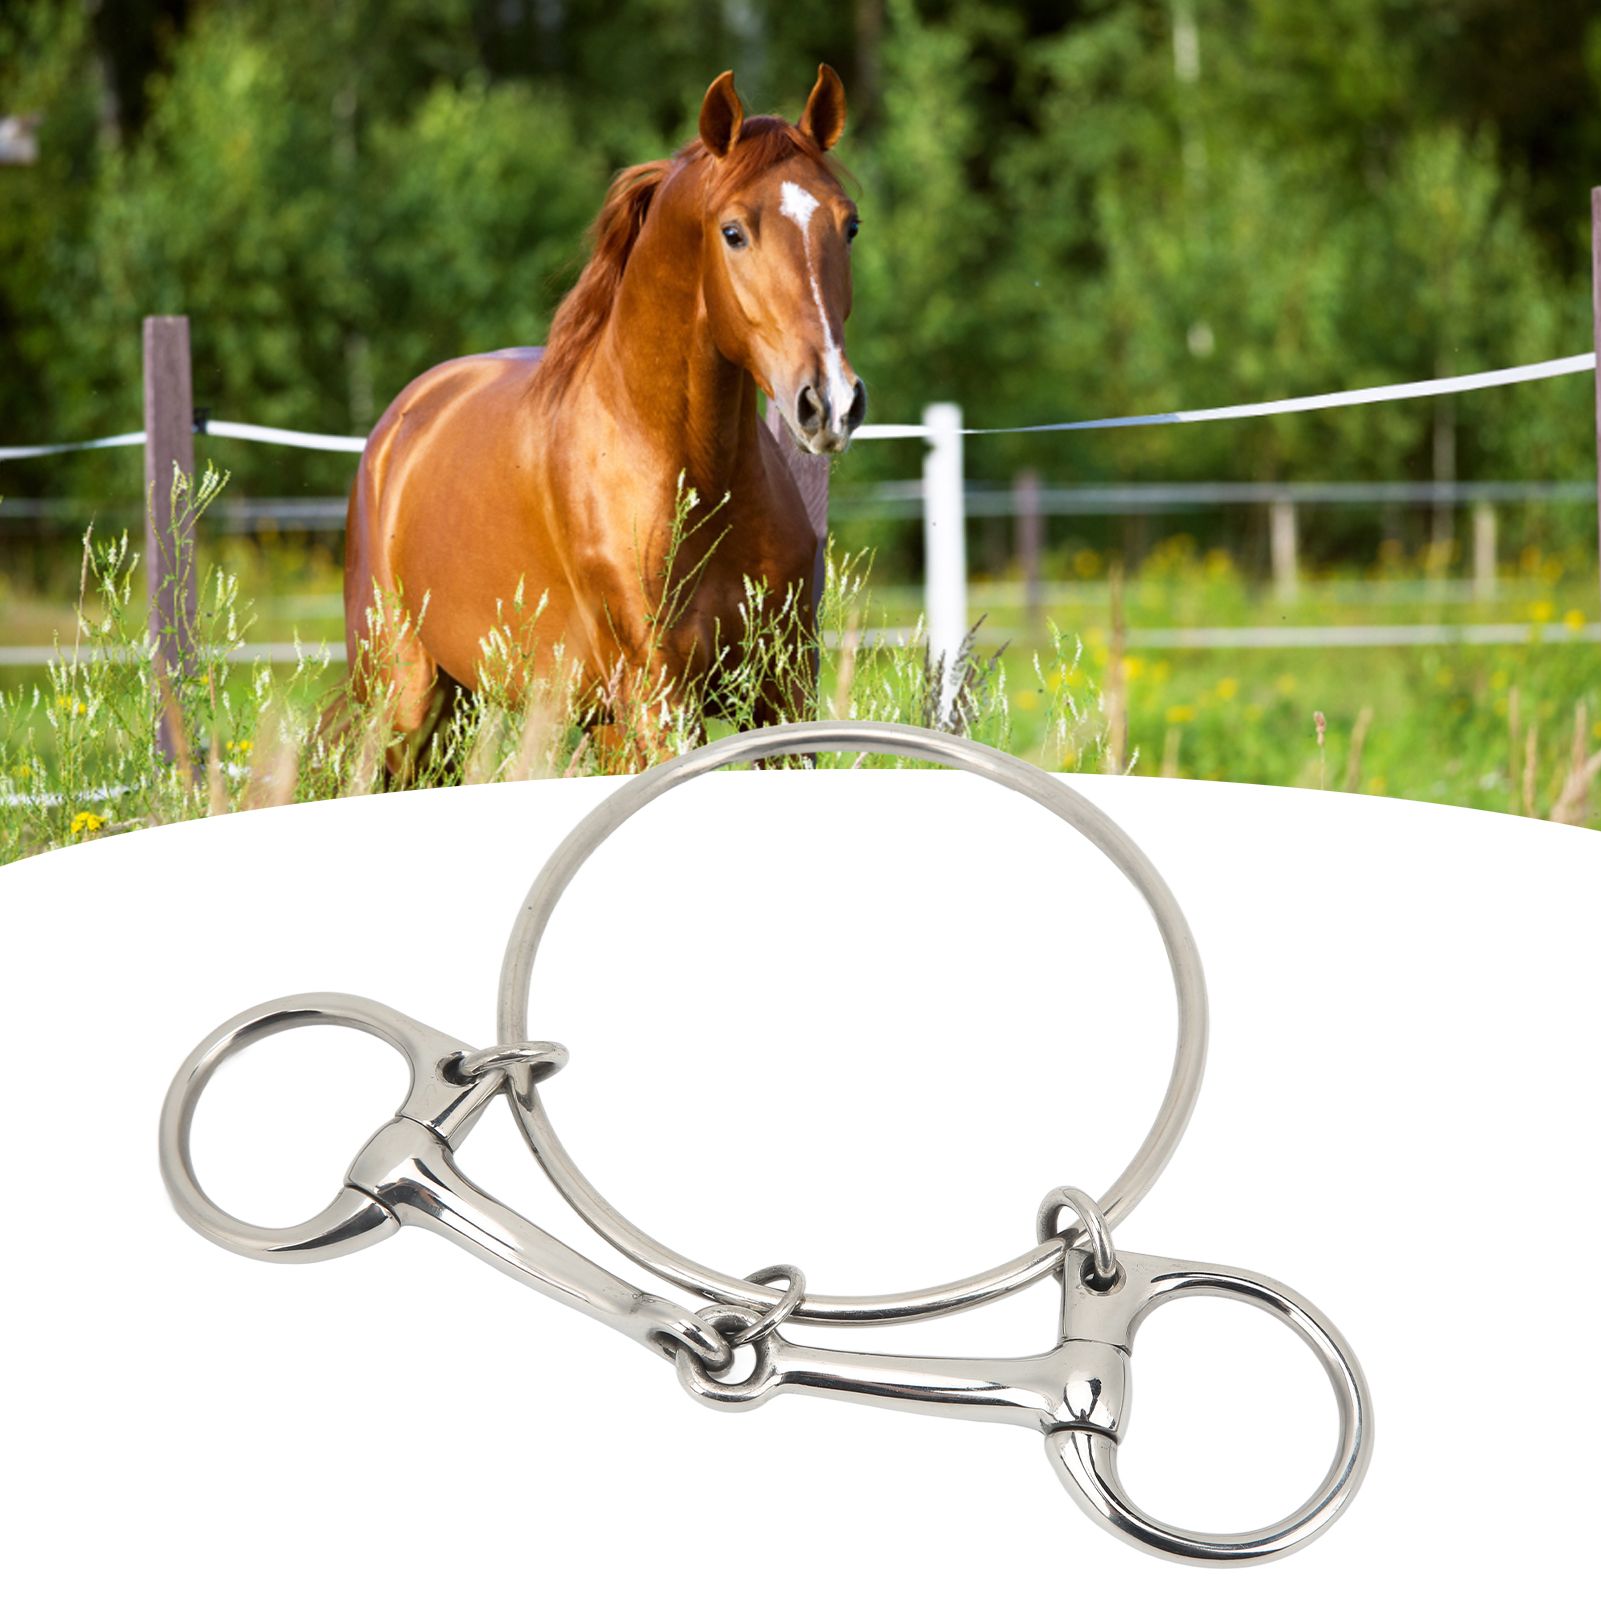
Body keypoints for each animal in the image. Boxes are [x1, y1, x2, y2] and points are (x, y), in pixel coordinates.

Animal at [343, 65, 866, 765]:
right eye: (733, 231)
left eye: (849, 225)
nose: (829, 402)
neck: (690, 476)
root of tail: (398, 427)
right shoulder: (660, 699)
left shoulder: (781, 691)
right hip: (404, 704)